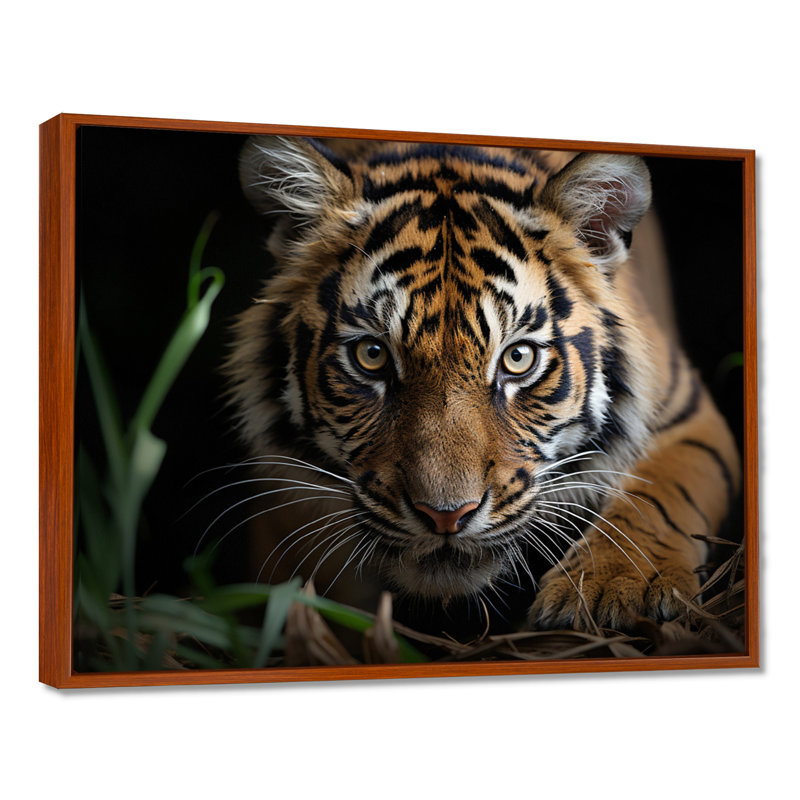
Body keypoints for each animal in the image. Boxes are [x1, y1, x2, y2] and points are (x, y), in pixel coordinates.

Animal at [223, 134, 740, 636]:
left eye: (518, 358)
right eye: (372, 356)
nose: (445, 516)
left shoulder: (686, 413)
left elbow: (659, 496)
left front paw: (616, 586)